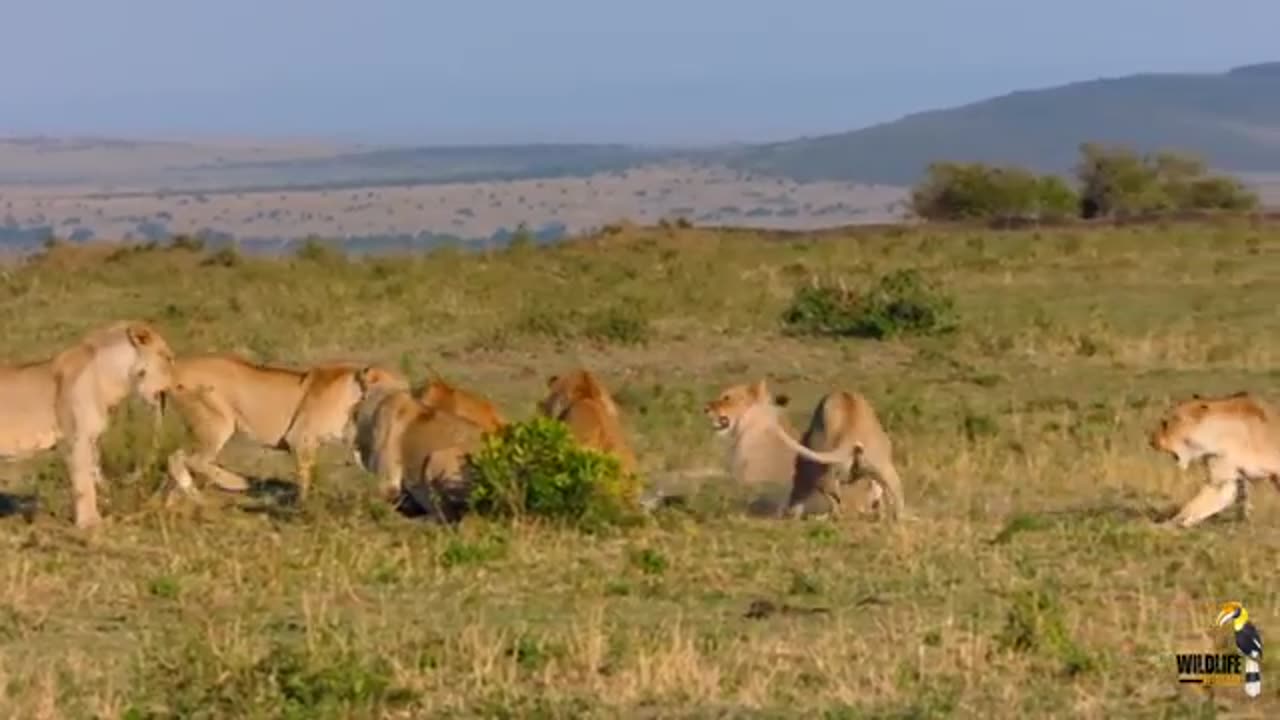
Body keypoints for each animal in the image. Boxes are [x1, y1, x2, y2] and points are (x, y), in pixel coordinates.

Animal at [0, 319, 175, 527]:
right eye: (167, 358)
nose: (175, 387)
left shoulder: (92, 438)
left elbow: (93, 476)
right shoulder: (77, 438)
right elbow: (84, 483)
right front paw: (90, 523)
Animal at [162, 351, 399, 499]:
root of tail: (175, 369)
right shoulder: (301, 438)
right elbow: (305, 479)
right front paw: (304, 509)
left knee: (178, 459)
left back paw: (182, 500)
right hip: (217, 424)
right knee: (187, 459)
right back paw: (235, 483)